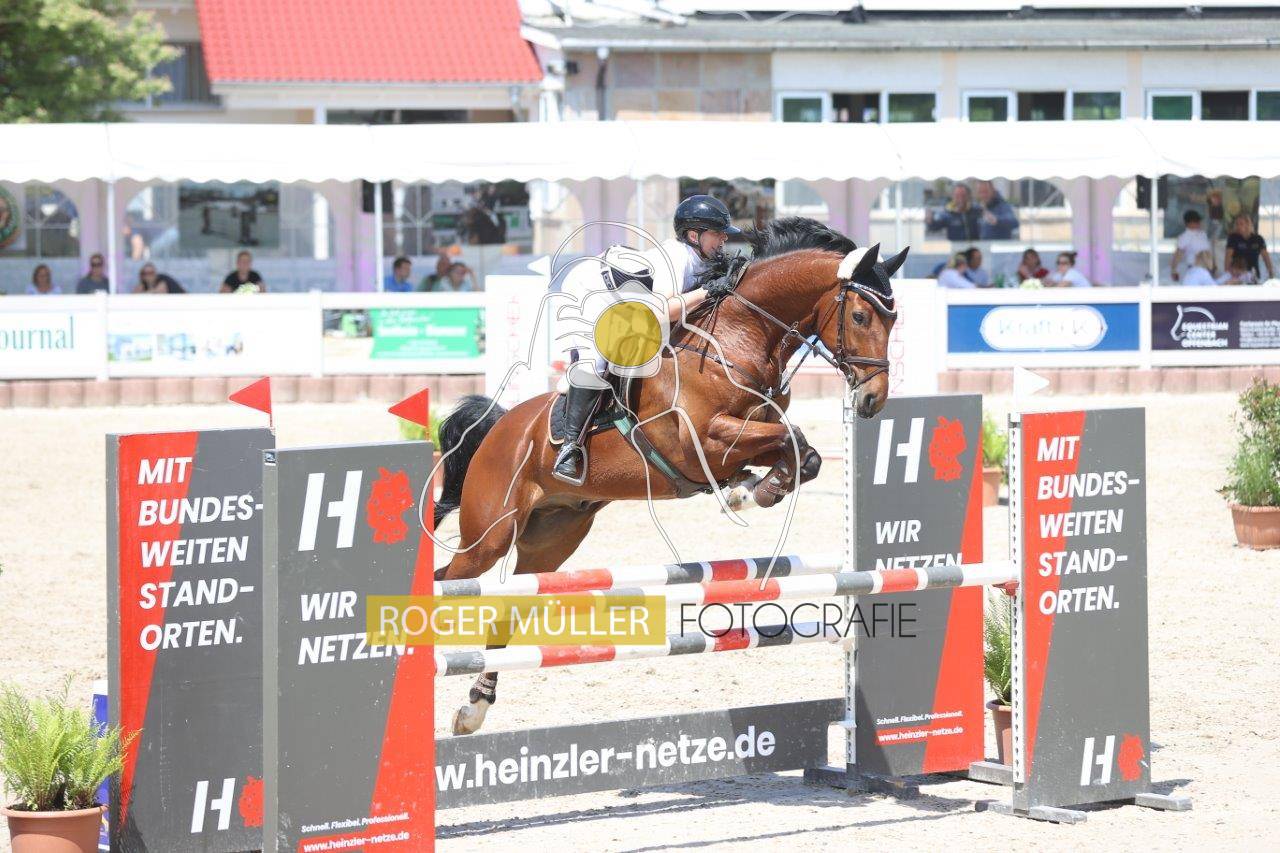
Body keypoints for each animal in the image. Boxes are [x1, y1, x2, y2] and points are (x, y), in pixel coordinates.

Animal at [433, 217, 905, 734]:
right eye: (860, 317)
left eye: (893, 320)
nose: (872, 401)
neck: (739, 339)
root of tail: (500, 426)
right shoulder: (703, 440)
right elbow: (792, 438)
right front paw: (749, 491)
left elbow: (804, 453)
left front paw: (754, 489)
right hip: (490, 534)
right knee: (446, 581)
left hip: (551, 539)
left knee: (508, 604)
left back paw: (474, 707)